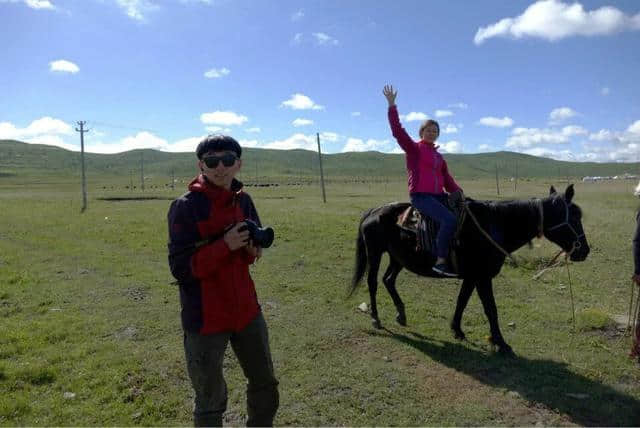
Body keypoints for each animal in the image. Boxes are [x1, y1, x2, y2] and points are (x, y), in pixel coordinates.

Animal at [350, 184, 592, 354]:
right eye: (575, 216)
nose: (584, 251)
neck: (494, 226)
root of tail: (374, 210)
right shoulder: (482, 277)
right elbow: (491, 309)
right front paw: (502, 344)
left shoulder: (472, 277)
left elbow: (462, 301)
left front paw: (457, 330)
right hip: (375, 253)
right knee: (373, 282)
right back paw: (376, 318)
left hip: (397, 258)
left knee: (388, 280)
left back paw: (401, 314)